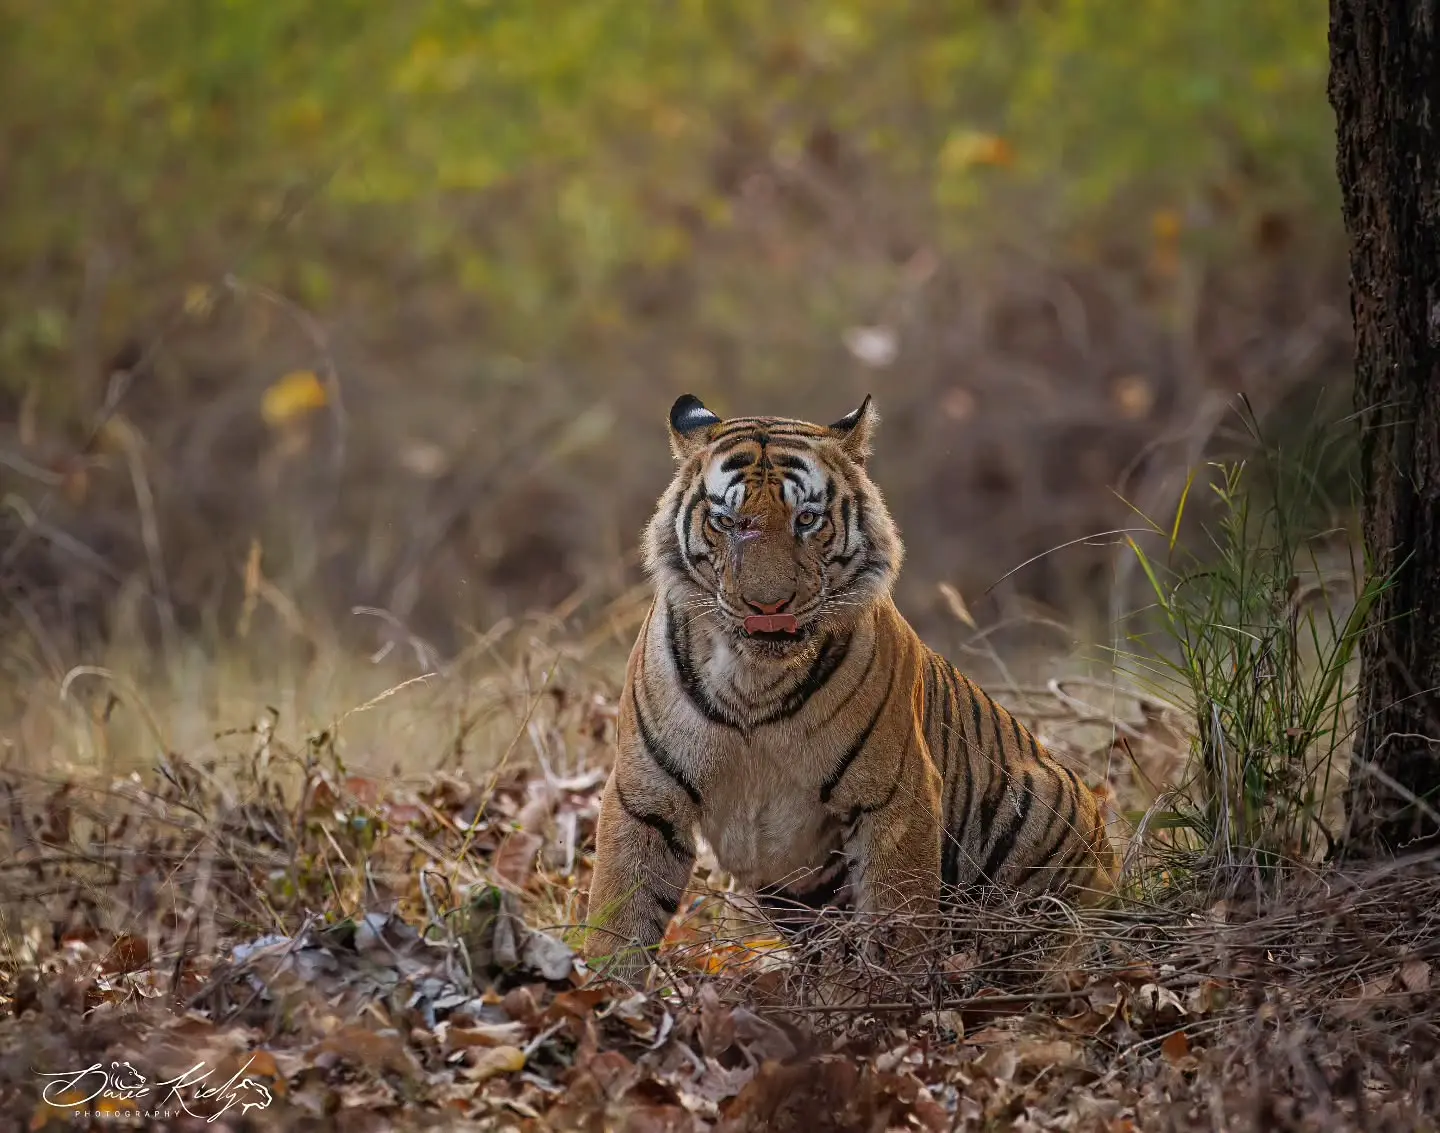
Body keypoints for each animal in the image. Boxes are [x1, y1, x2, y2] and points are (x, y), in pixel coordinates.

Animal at [578, 397, 1117, 984]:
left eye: (806, 519)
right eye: (726, 521)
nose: (768, 607)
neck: (753, 680)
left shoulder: (893, 797)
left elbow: (897, 923)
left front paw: (889, 997)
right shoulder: (646, 798)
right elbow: (620, 915)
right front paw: (607, 994)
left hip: (1041, 806)